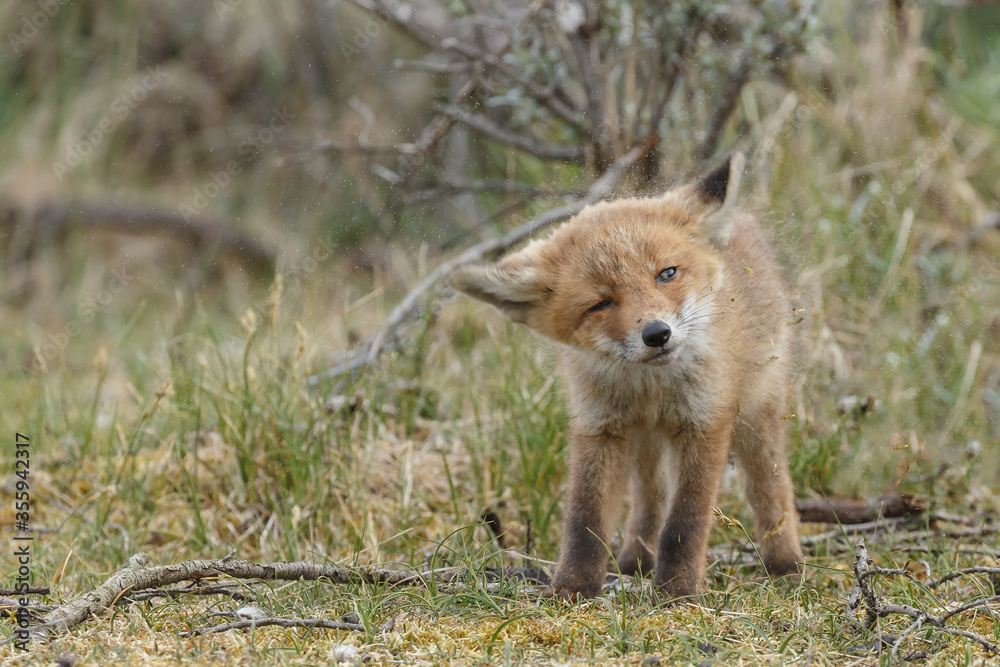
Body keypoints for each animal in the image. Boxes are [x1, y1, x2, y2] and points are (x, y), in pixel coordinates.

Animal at [450, 154, 803, 600]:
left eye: (666, 274)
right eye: (601, 303)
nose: (656, 334)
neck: (650, 390)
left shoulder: (704, 423)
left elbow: (685, 521)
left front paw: (677, 592)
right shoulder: (600, 428)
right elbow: (585, 520)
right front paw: (572, 590)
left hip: (757, 415)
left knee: (772, 491)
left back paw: (785, 564)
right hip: (646, 443)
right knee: (649, 499)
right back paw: (636, 560)